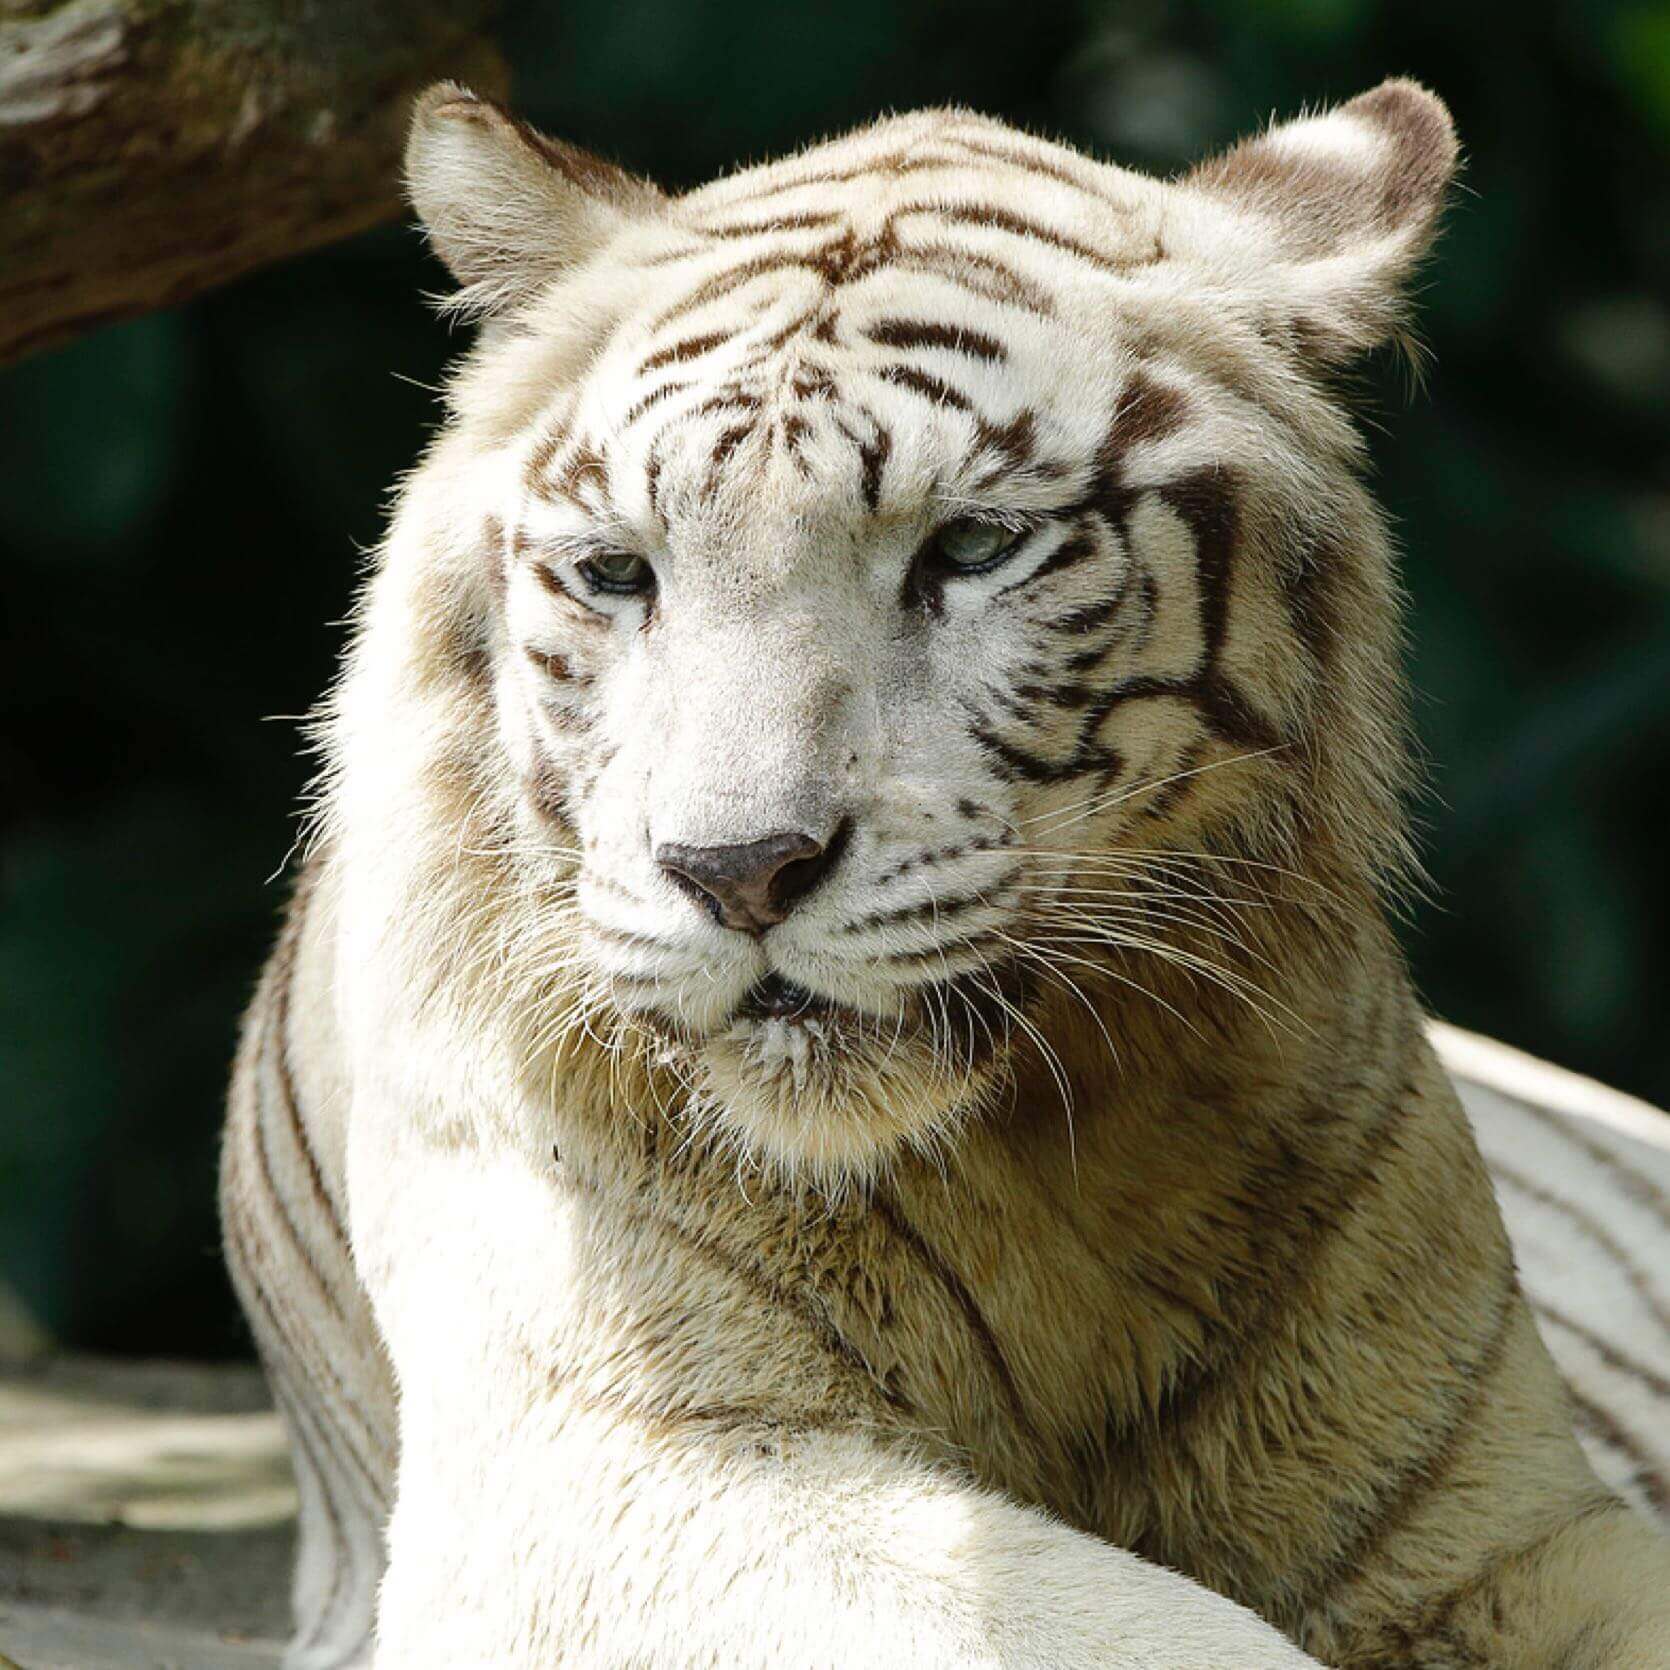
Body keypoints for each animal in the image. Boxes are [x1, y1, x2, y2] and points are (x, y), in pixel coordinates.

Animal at [220, 78, 1670, 1669]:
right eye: (616, 573)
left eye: (972, 545)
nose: (735, 870)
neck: (1042, 1162)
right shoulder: (625, 1469)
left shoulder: (1492, 1519)